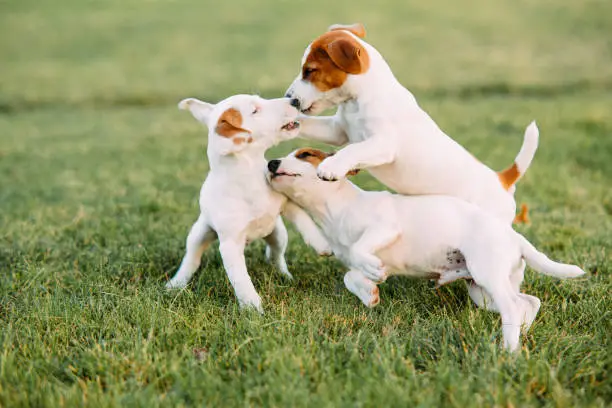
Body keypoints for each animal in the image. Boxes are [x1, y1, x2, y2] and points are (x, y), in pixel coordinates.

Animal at [165, 95, 332, 312]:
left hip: (278, 234)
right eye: (255, 110)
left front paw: (321, 243)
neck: (249, 175)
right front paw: (252, 307)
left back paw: (285, 276)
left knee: (275, 255)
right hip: (199, 234)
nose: (294, 100)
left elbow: (304, 220)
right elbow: (240, 278)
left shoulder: (286, 203)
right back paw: (176, 283)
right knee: (192, 259)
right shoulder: (229, 245)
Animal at [266, 148, 584, 352]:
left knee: (514, 307)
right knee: (528, 303)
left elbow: (360, 248)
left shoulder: (385, 227)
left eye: (305, 155)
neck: (335, 209)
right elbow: (351, 276)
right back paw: (522, 337)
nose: (270, 163)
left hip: (488, 276)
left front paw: (372, 276)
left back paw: (508, 350)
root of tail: (515, 238)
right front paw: (369, 293)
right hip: (481, 290)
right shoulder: (353, 263)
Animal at [284, 22, 536, 225]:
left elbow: (353, 149)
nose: (290, 98)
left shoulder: (383, 144)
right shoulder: (338, 131)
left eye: (310, 71)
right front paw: (286, 120)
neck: (360, 99)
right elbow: (309, 124)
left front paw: (332, 166)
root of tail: (502, 180)